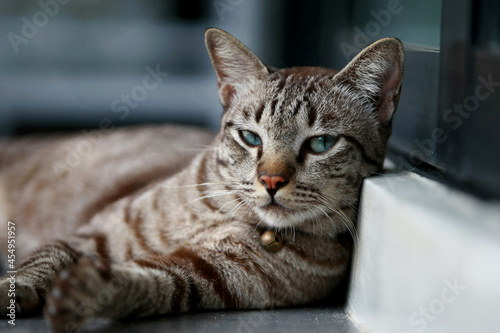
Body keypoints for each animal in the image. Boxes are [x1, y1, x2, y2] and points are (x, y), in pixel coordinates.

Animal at [0, 27, 402, 330]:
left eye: (321, 144)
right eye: (251, 137)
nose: (271, 181)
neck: (224, 215)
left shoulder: (201, 275)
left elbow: (145, 283)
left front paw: (84, 292)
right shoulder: (93, 236)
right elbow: (42, 263)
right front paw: (14, 290)